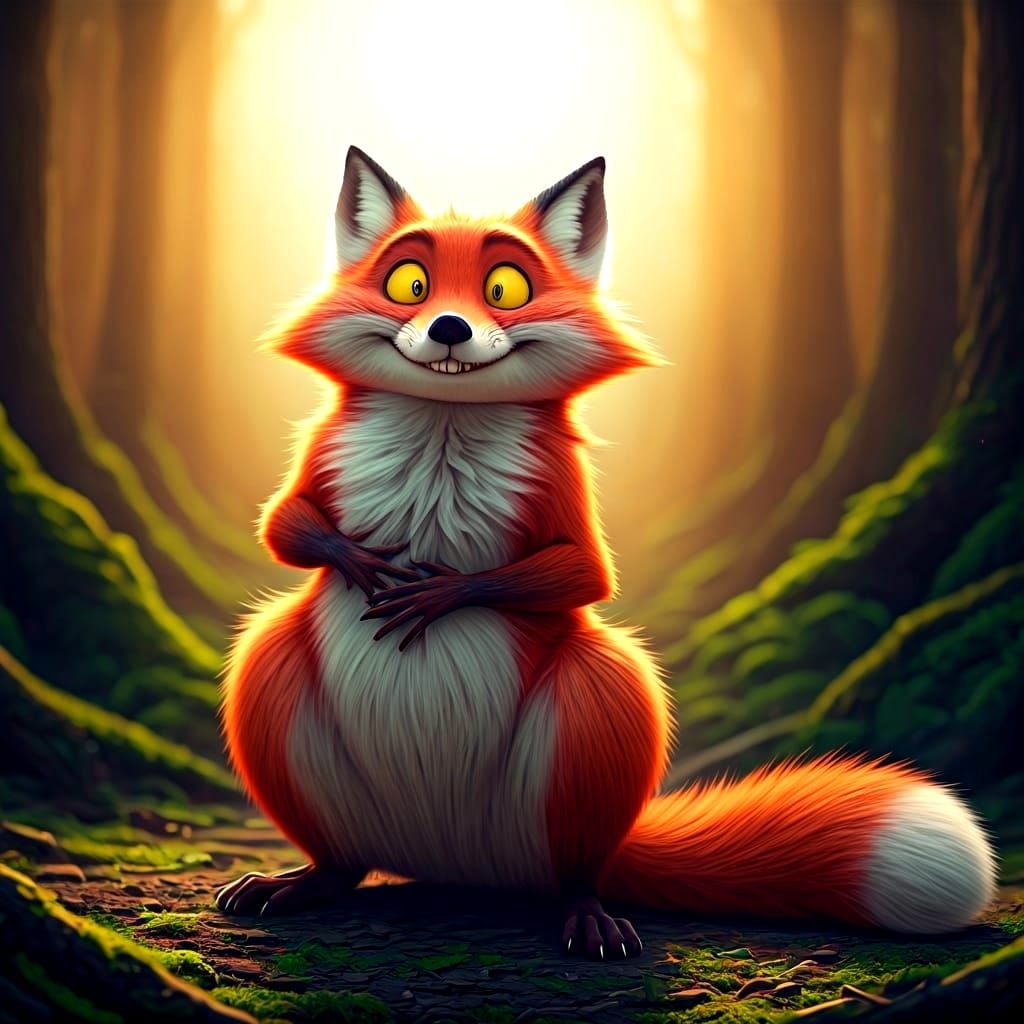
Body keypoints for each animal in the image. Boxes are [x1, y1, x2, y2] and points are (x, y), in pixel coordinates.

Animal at [216, 147, 996, 958]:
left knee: (581, 868)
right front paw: (363, 563)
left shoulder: (568, 494)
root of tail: (452, 862)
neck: (443, 432)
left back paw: (586, 915)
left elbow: (582, 576)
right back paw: (299, 883)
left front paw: (439, 591)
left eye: (504, 289)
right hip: (266, 666)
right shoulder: (316, 455)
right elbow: (284, 527)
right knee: (343, 863)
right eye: (410, 284)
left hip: (603, 692)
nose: (451, 328)